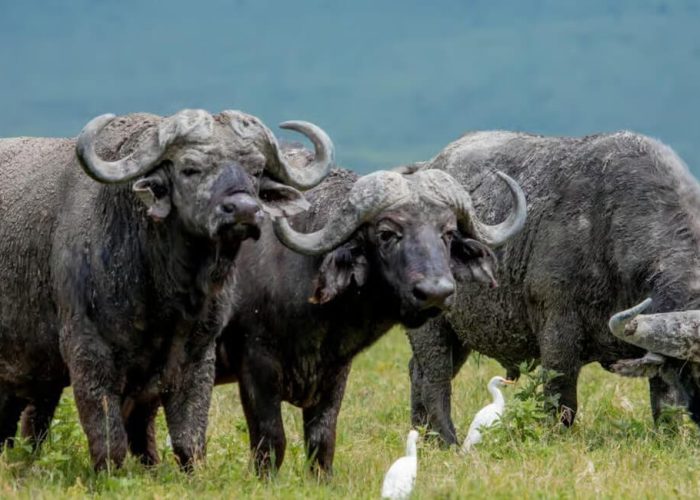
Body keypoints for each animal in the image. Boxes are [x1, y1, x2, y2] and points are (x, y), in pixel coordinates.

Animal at [0, 109, 334, 469]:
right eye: (190, 168)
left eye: (256, 170)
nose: (244, 210)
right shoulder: (88, 351)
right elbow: (109, 441)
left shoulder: (197, 355)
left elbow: (189, 439)